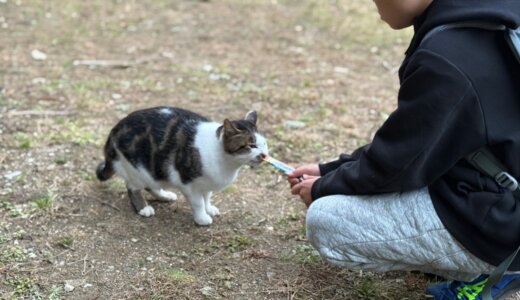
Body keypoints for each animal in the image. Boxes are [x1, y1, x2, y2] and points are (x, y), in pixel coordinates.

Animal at [94, 106, 270, 226]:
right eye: (251, 145)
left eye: (264, 144)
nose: (264, 155)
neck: (227, 163)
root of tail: (114, 131)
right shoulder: (189, 182)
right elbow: (198, 202)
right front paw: (202, 218)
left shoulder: (207, 183)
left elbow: (207, 197)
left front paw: (209, 208)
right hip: (137, 169)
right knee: (133, 188)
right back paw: (143, 208)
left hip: (153, 170)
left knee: (151, 185)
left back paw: (165, 196)